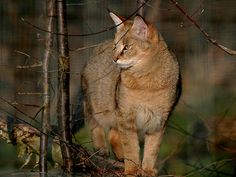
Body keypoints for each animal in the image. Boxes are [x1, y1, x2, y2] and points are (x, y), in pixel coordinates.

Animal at [81, 12, 181, 176]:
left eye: (126, 47)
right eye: (115, 46)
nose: (114, 59)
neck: (146, 84)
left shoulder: (159, 120)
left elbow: (152, 149)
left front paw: (147, 170)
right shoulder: (126, 115)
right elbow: (131, 147)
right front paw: (132, 169)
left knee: (113, 134)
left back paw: (120, 157)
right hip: (96, 104)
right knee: (94, 124)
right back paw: (101, 148)